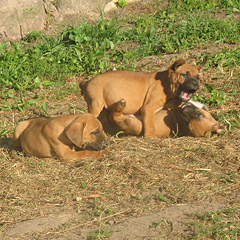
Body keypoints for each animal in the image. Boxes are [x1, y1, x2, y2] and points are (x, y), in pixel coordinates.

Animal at [79, 57, 207, 138]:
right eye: (184, 74)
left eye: (198, 77)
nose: (195, 84)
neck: (166, 83)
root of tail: (87, 82)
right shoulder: (149, 108)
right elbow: (150, 125)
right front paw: (151, 137)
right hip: (95, 104)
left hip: (103, 109)